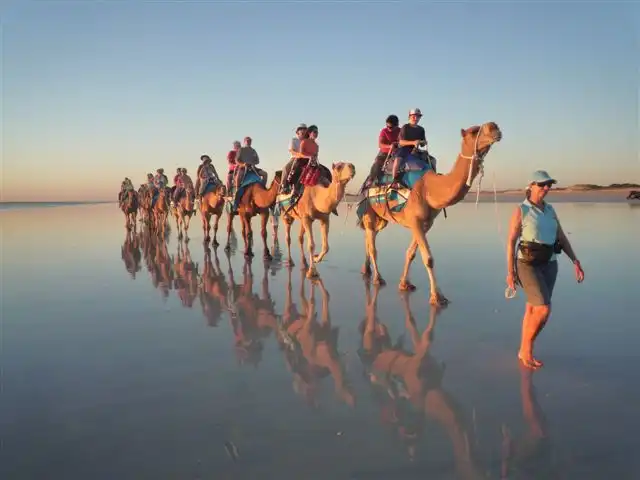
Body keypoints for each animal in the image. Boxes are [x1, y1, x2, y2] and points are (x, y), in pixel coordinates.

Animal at [358, 123, 502, 304]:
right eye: (474, 131)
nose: (494, 127)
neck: (429, 188)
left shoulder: (426, 222)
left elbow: (411, 253)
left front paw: (404, 284)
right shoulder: (415, 220)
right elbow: (428, 259)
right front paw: (437, 297)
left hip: (380, 218)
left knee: (369, 239)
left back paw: (366, 270)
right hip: (369, 211)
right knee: (372, 247)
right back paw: (378, 278)